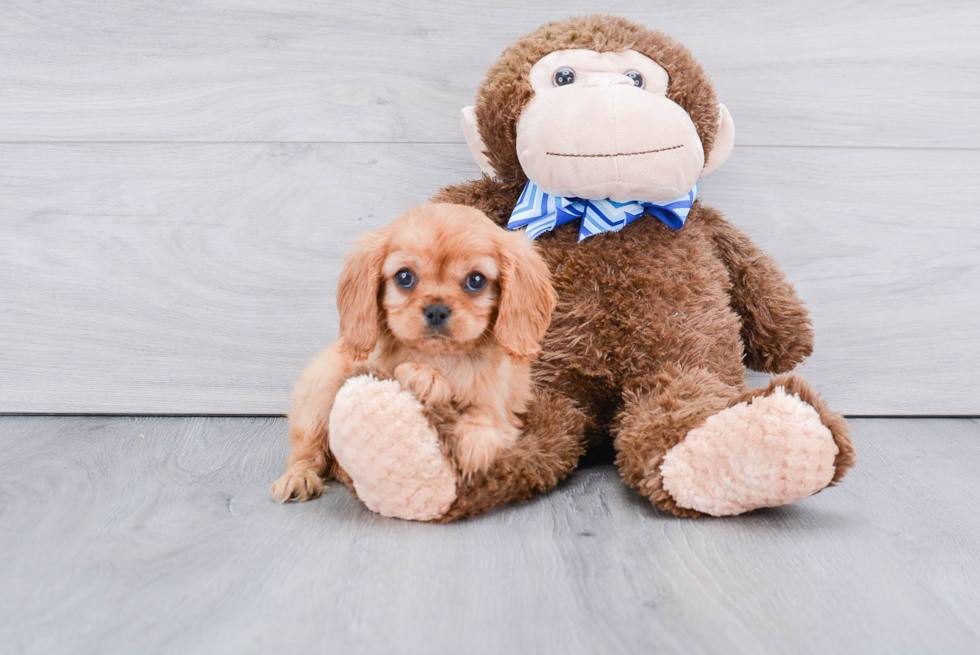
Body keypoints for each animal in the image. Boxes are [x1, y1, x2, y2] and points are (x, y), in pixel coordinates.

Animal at [272, 204, 556, 502]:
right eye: (404, 277)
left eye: (476, 280)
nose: (437, 310)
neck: (441, 358)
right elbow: (402, 370)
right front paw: (426, 378)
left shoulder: (499, 405)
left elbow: (485, 415)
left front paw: (475, 446)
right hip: (319, 393)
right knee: (307, 449)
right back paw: (298, 478)